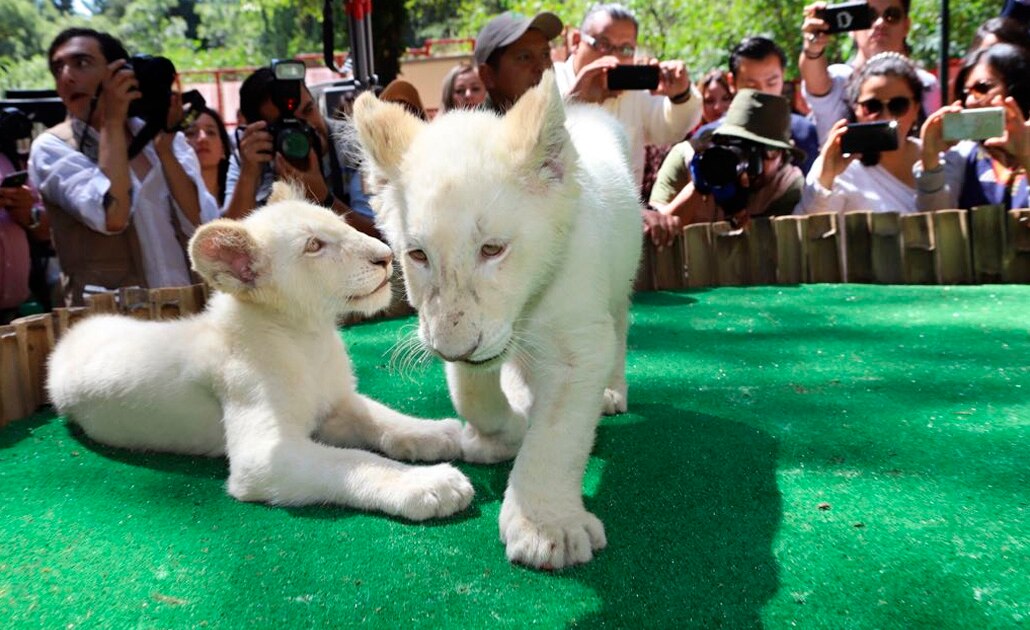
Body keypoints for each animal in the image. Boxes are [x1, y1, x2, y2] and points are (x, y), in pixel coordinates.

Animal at [47, 185, 473, 520]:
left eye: (342, 224)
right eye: (314, 246)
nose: (385, 255)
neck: (309, 338)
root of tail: (71, 334)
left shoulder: (336, 403)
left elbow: (382, 418)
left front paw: (437, 432)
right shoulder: (264, 457)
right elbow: (355, 460)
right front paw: (429, 484)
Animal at [353, 71, 643, 568]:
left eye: (492, 249)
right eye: (418, 254)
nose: (454, 348)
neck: (529, 304)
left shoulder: (579, 346)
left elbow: (556, 437)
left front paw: (546, 529)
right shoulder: (456, 333)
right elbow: (472, 394)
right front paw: (502, 435)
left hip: (620, 289)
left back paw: (611, 393)